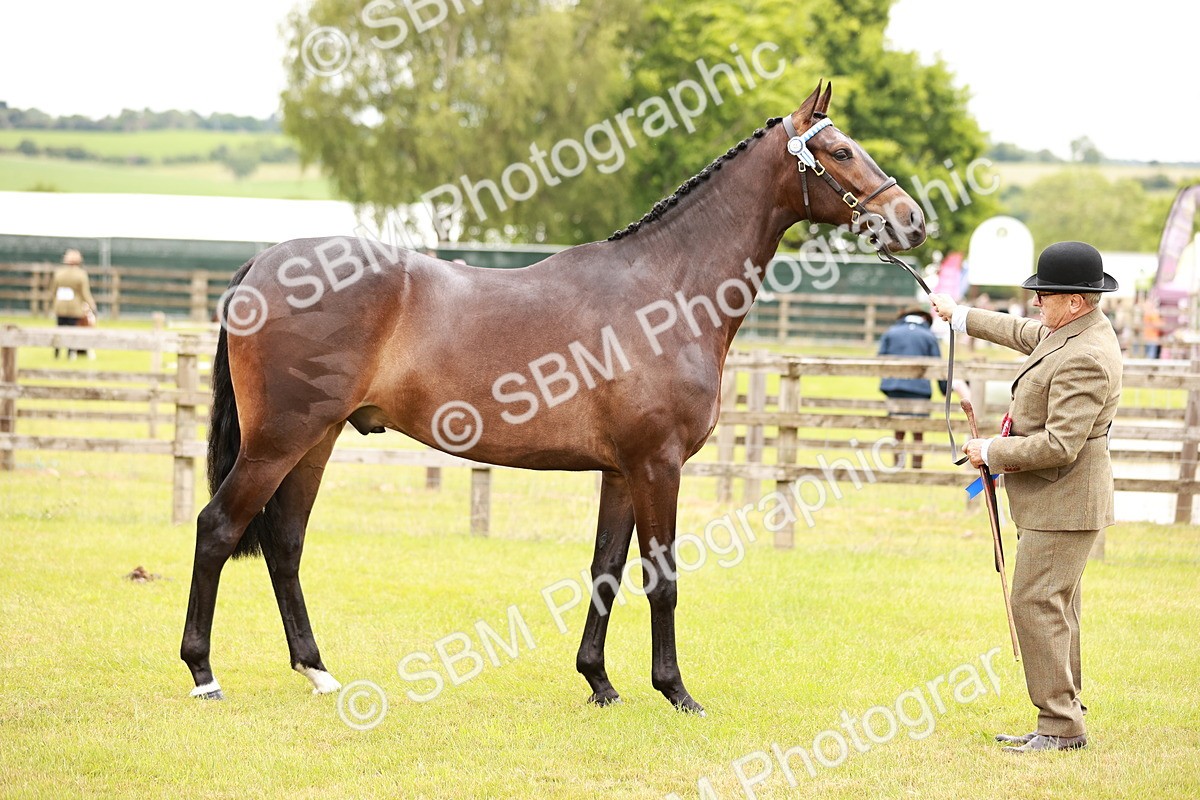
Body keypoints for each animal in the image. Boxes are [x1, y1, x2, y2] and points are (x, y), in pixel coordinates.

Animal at [181, 82, 926, 713]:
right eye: (839, 151)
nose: (913, 219)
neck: (667, 290)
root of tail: (264, 262)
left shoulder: (622, 472)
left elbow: (606, 572)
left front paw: (599, 683)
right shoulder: (657, 465)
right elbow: (662, 578)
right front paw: (676, 691)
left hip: (316, 441)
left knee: (285, 545)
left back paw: (318, 671)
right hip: (277, 442)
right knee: (218, 528)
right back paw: (204, 673)